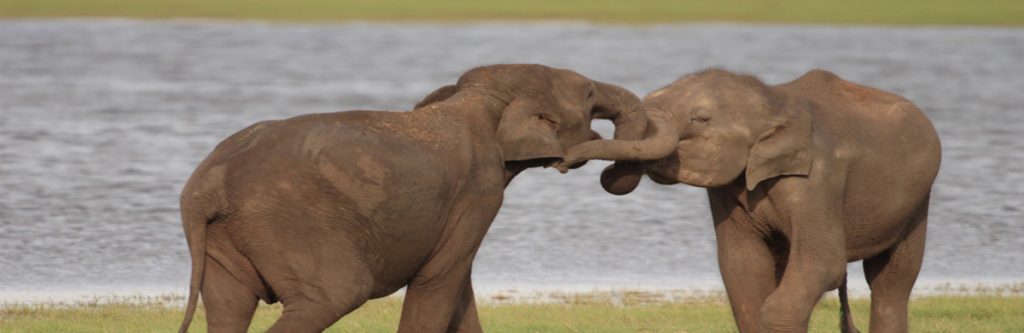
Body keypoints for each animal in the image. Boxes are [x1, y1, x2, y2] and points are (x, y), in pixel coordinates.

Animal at [172, 63, 643, 329]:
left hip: (226, 237)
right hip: (287, 227)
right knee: (332, 295)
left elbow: (458, 285)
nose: (606, 169)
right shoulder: (480, 190)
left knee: (229, 307)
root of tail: (206, 186)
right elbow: (439, 280)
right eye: (587, 93)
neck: (480, 98)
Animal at [561, 68, 942, 331]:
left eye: (701, 119)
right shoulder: (727, 191)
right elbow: (742, 269)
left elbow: (822, 263)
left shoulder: (820, 179)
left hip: (917, 201)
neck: (774, 100)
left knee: (890, 283)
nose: (564, 160)